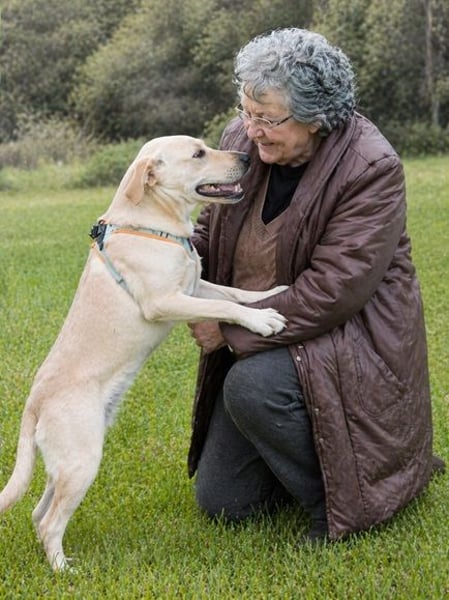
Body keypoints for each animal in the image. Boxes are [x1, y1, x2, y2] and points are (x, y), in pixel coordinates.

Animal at [0, 135, 287, 571]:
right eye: (198, 154)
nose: (246, 157)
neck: (153, 225)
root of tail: (33, 402)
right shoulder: (166, 301)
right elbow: (224, 307)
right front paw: (261, 321)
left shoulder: (195, 285)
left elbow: (234, 294)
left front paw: (271, 296)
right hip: (82, 460)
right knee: (49, 522)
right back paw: (65, 570)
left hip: (65, 462)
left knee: (38, 513)